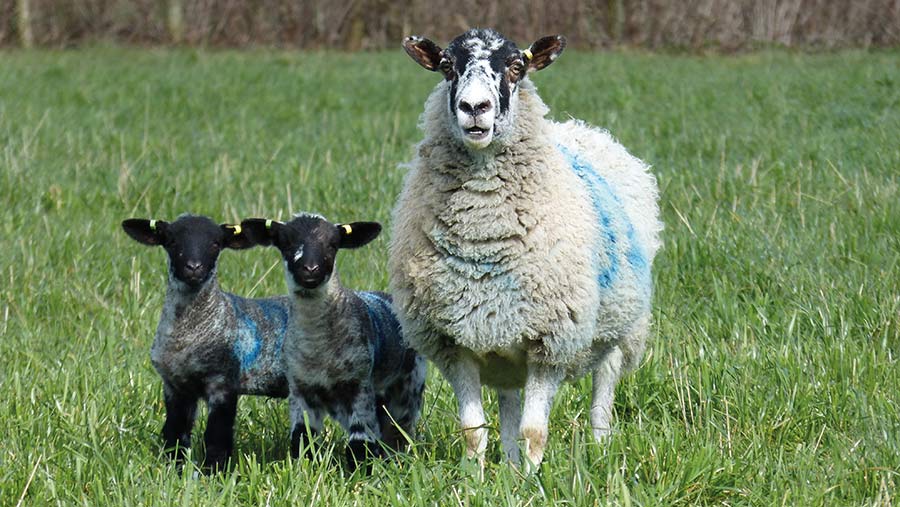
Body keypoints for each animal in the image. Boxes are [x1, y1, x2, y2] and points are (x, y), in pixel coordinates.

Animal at [122, 214, 310, 472]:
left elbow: (216, 437)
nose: (194, 267)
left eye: (215, 244)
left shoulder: (223, 384)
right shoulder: (175, 386)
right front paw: (175, 470)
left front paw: (214, 473)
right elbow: (175, 433)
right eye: (171, 241)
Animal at [241, 213, 428, 472]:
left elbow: (360, 442)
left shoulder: (358, 385)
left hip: (409, 388)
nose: (310, 268)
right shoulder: (300, 389)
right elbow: (302, 440)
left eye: (332, 244)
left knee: (399, 431)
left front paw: (361, 473)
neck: (318, 348)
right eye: (286, 242)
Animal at [390, 29, 664, 470]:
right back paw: (510, 466)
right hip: (502, 340)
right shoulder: (453, 344)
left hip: (621, 327)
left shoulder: (550, 342)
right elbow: (473, 430)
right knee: (508, 404)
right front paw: (476, 478)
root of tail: (582, 129)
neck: (483, 235)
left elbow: (535, 431)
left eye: (517, 66)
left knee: (603, 391)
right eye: (447, 66)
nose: (474, 107)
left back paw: (599, 449)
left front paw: (533, 481)